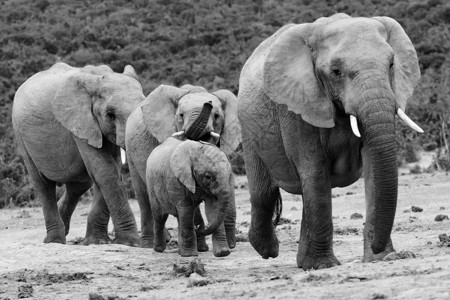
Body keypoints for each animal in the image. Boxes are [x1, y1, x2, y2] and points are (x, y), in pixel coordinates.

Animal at [11, 61, 144, 246]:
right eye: (110, 115)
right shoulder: (80, 122)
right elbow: (105, 170)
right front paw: (131, 243)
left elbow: (110, 169)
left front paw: (97, 242)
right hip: (20, 135)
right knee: (43, 185)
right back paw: (54, 241)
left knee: (78, 187)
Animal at [125, 84, 241, 248]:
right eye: (180, 115)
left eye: (217, 116)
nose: (208, 102)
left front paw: (230, 246)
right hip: (130, 153)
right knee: (143, 195)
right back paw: (149, 245)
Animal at [237, 13, 424, 270]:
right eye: (335, 71)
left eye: (391, 65)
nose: (377, 247)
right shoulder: (297, 107)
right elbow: (314, 170)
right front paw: (324, 265)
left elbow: (373, 168)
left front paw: (381, 258)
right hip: (248, 131)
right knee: (263, 194)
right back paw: (269, 250)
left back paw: (302, 263)